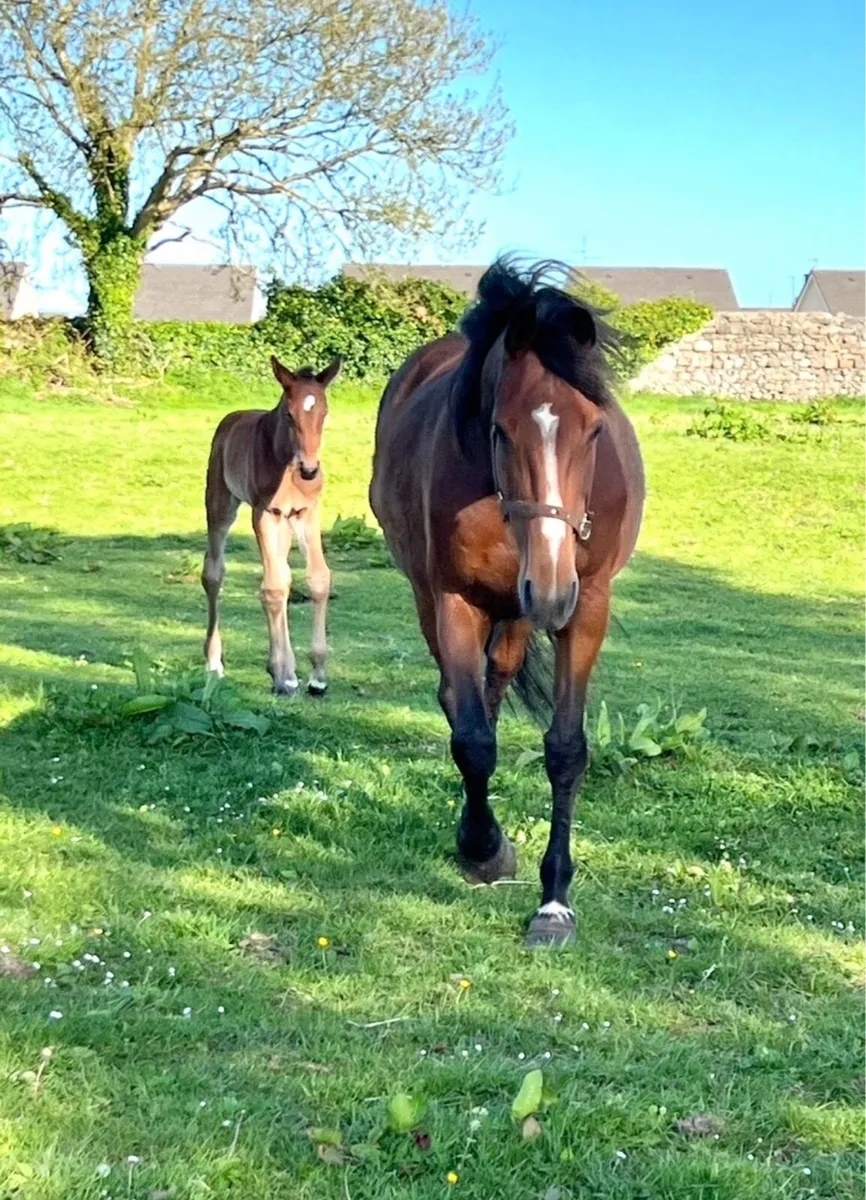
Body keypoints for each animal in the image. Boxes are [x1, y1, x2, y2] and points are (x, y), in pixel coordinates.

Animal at [201, 354, 341, 695]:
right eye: (289, 415)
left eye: (324, 412)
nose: (310, 469)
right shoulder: (264, 513)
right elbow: (274, 587)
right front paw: (284, 674)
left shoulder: (307, 513)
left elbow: (318, 579)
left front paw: (317, 675)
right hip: (220, 503)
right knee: (214, 572)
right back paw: (214, 662)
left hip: (286, 524)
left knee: (285, 574)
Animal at [369, 258, 644, 947]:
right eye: (499, 428)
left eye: (595, 430)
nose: (549, 587)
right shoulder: (454, 599)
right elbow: (471, 740)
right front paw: (483, 850)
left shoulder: (585, 604)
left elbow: (566, 749)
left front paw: (554, 902)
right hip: (449, 597)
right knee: (459, 699)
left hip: (522, 611)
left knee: (497, 681)